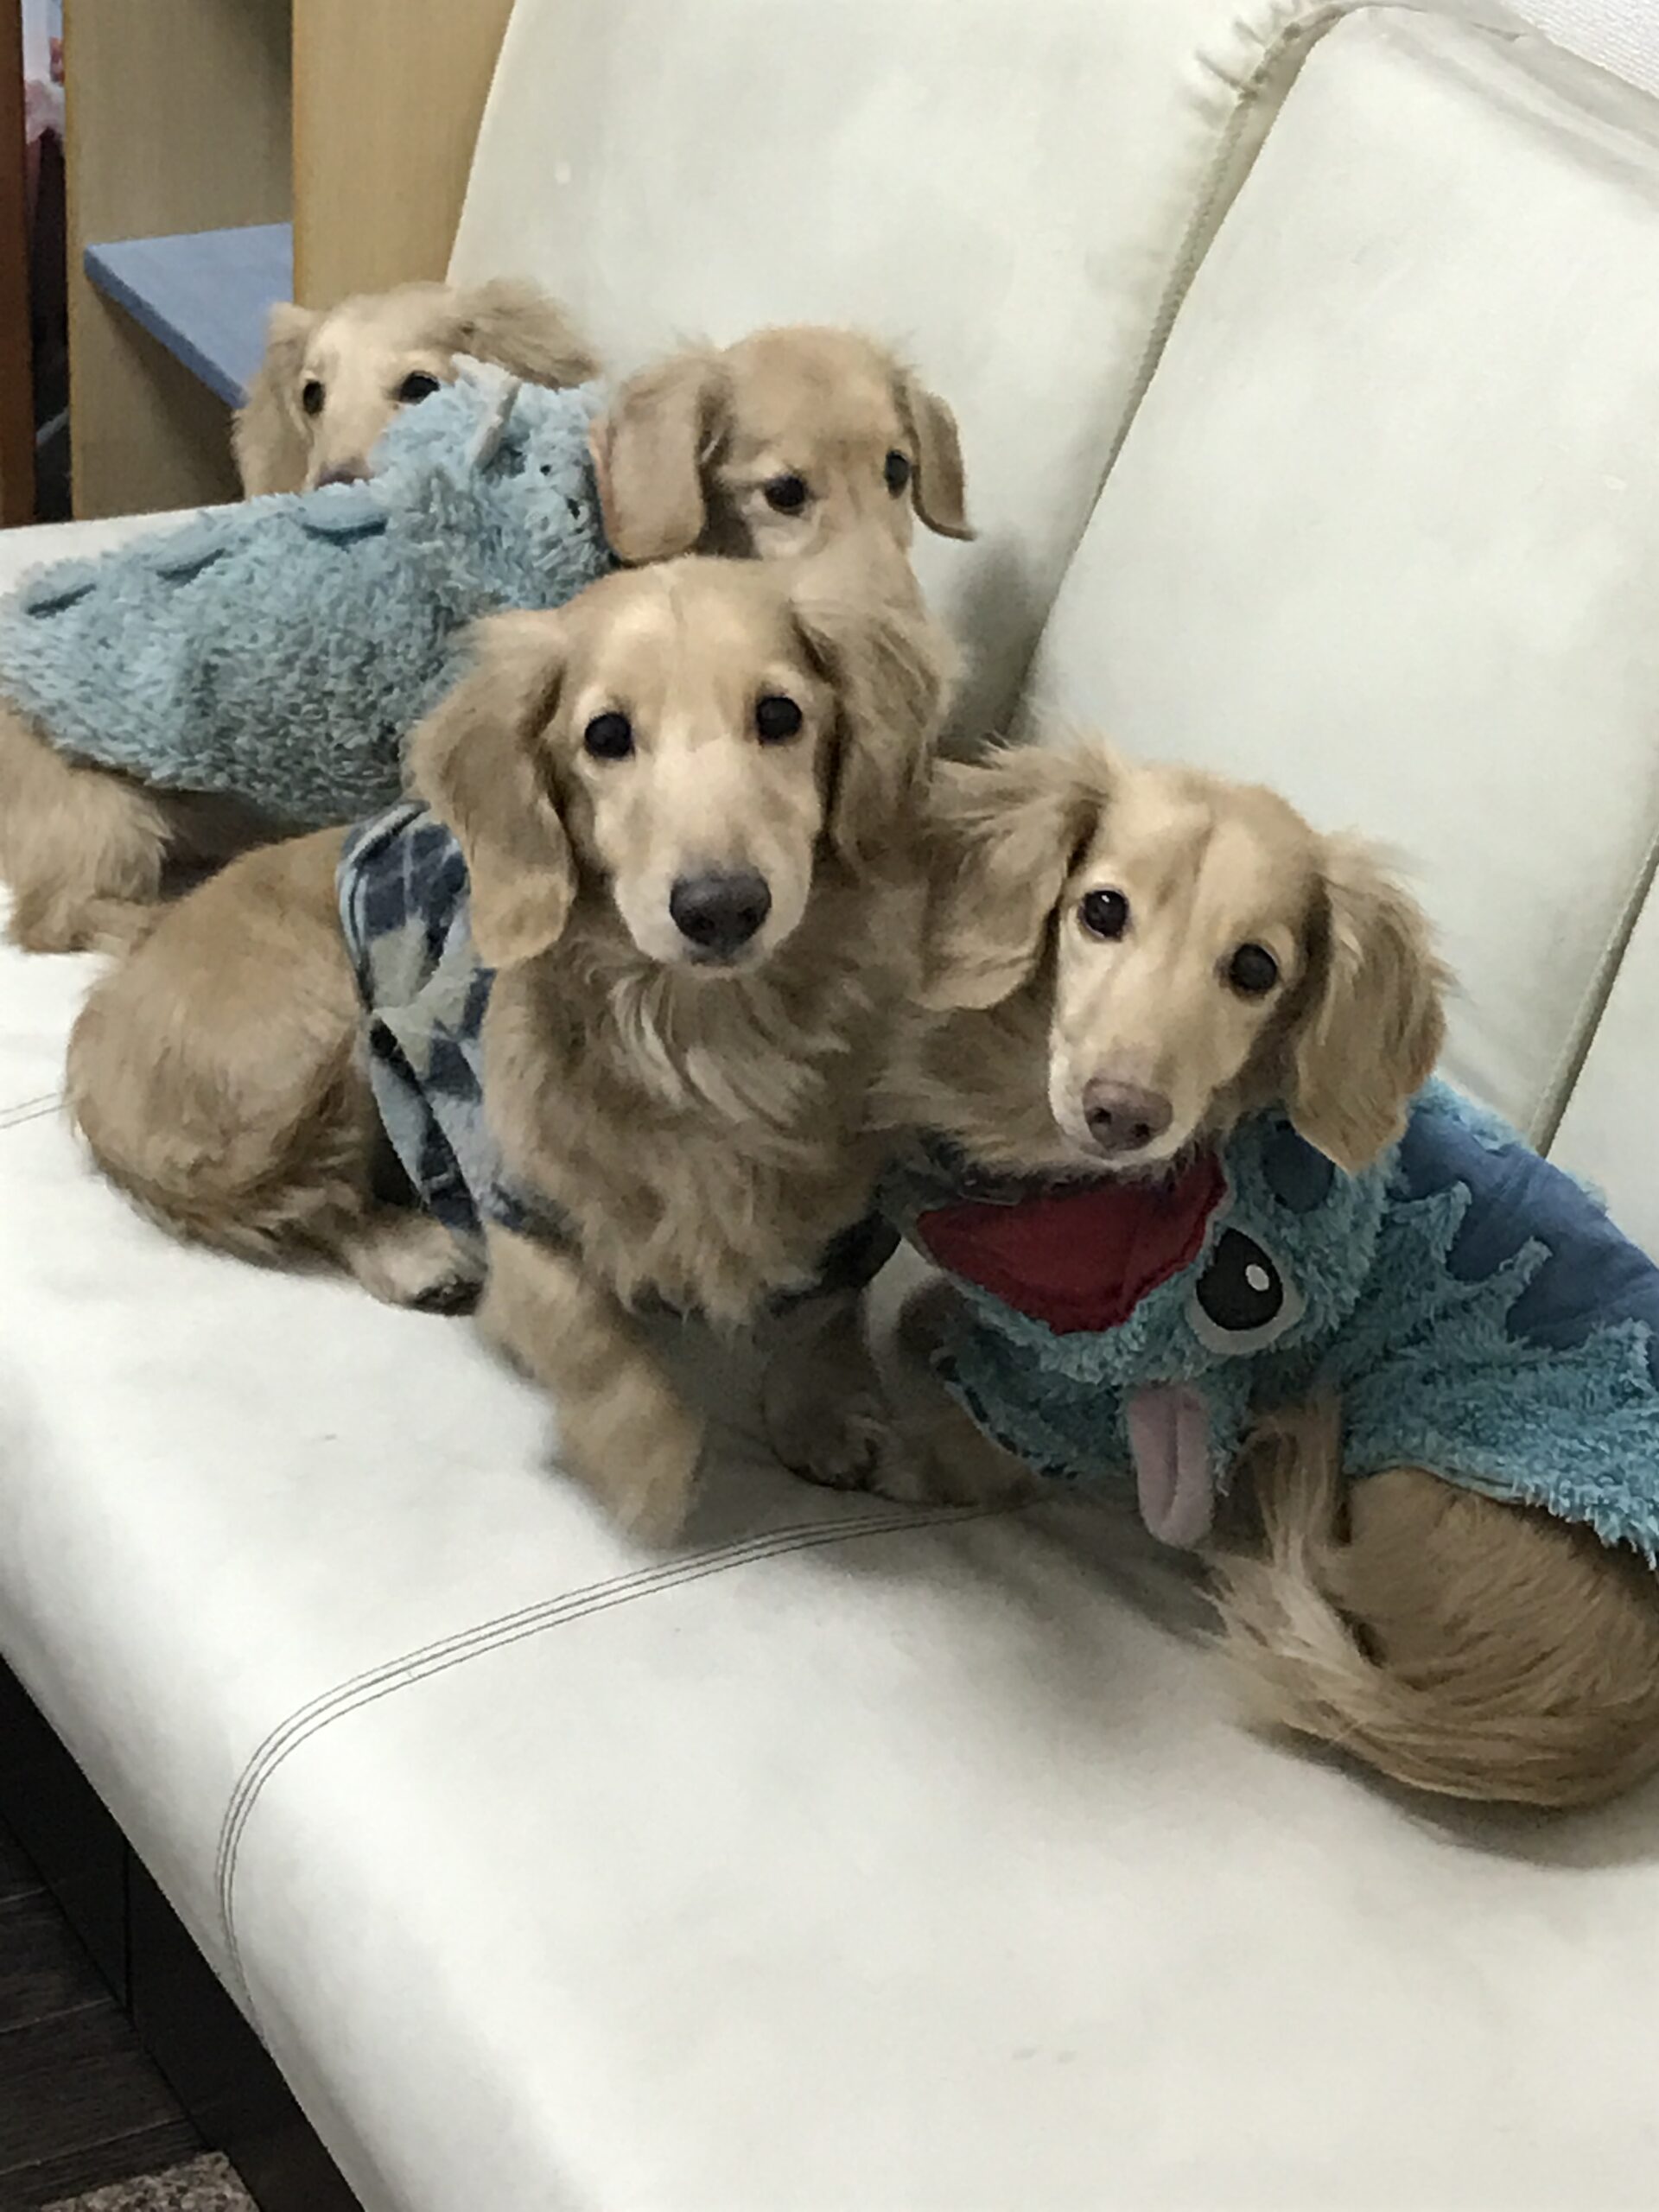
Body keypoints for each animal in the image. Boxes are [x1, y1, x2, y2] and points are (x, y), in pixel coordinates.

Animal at [67, 547, 955, 1542]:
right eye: (606, 736)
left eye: (780, 716)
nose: (721, 907)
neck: (703, 1033)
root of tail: (117, 988)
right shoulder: (493, 1173)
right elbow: (582, 1327)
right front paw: (646, 1459)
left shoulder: (850, 1198)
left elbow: (828, 1307)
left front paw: (827, 1412)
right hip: (321, 1040)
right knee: (309, 1200)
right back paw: (412, 1252)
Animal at [857, 739, 1659, 1809]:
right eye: (1100, 909)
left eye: (1255, 968)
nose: (1123, 1111)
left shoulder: (1128, 1374)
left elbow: (979, 1442)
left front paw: (889, 1445)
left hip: (1411, 1475)